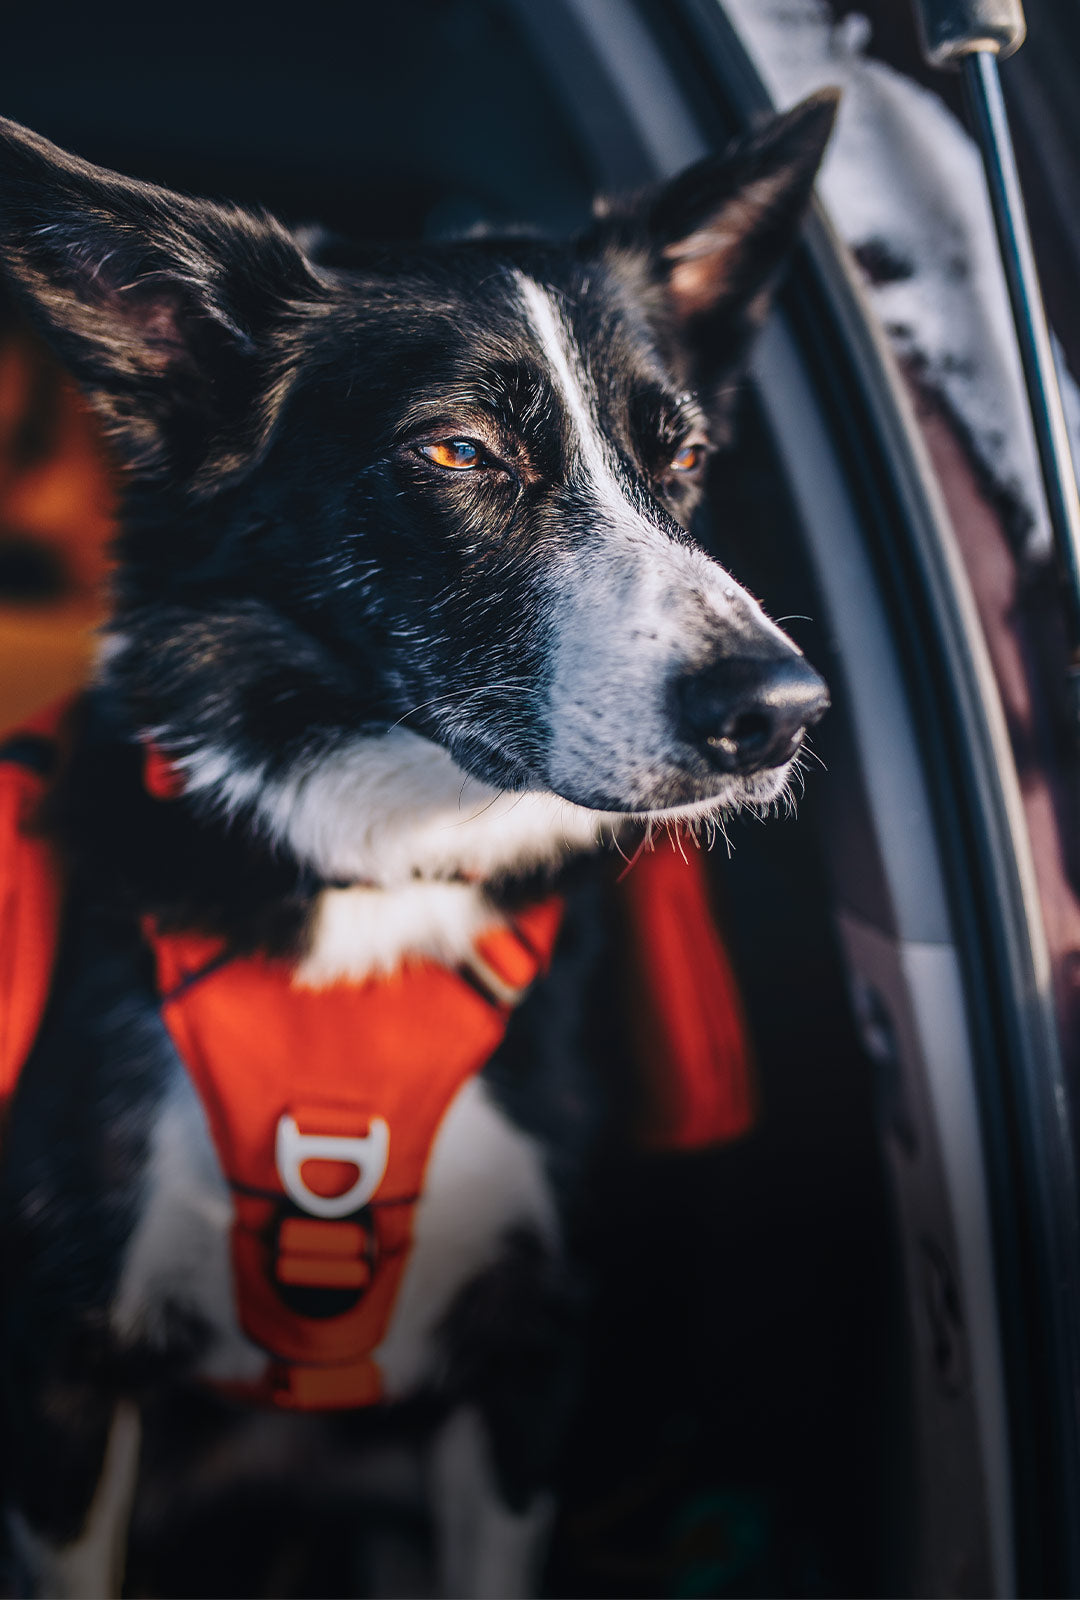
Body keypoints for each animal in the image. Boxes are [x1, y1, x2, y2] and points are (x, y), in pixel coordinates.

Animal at [0, 90, 838, 1600]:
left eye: (683, 456)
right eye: (457, 453)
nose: (783, 713)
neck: (377, 873)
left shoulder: (525, 1365)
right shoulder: (64, 1360)